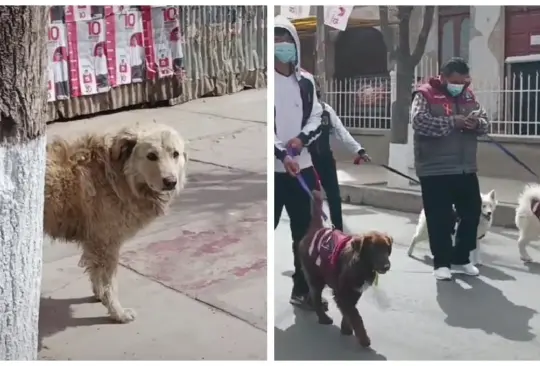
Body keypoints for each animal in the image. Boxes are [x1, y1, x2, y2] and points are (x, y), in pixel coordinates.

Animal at [44, 123, 188, 324]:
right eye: (151, 156)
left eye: (175, 154)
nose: (171, 182)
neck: (118, 175)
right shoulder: (107, 244)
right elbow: (110, 284)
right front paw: (117, 312)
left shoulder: (94, 242)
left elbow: (95, 274)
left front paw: (99, 296)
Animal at [300, 190, 392, 348]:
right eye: (374, 250)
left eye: (387, 249)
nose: (386, 266)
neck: (361, 265)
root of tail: (316, 229)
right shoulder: (342, 292)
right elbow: (355, 316)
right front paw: (363, 339)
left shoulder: (354, 292)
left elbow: (349, 312)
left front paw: (346, 328)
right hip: (315, 276)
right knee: (315, 296)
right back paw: (323, 318)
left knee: (311, 293)